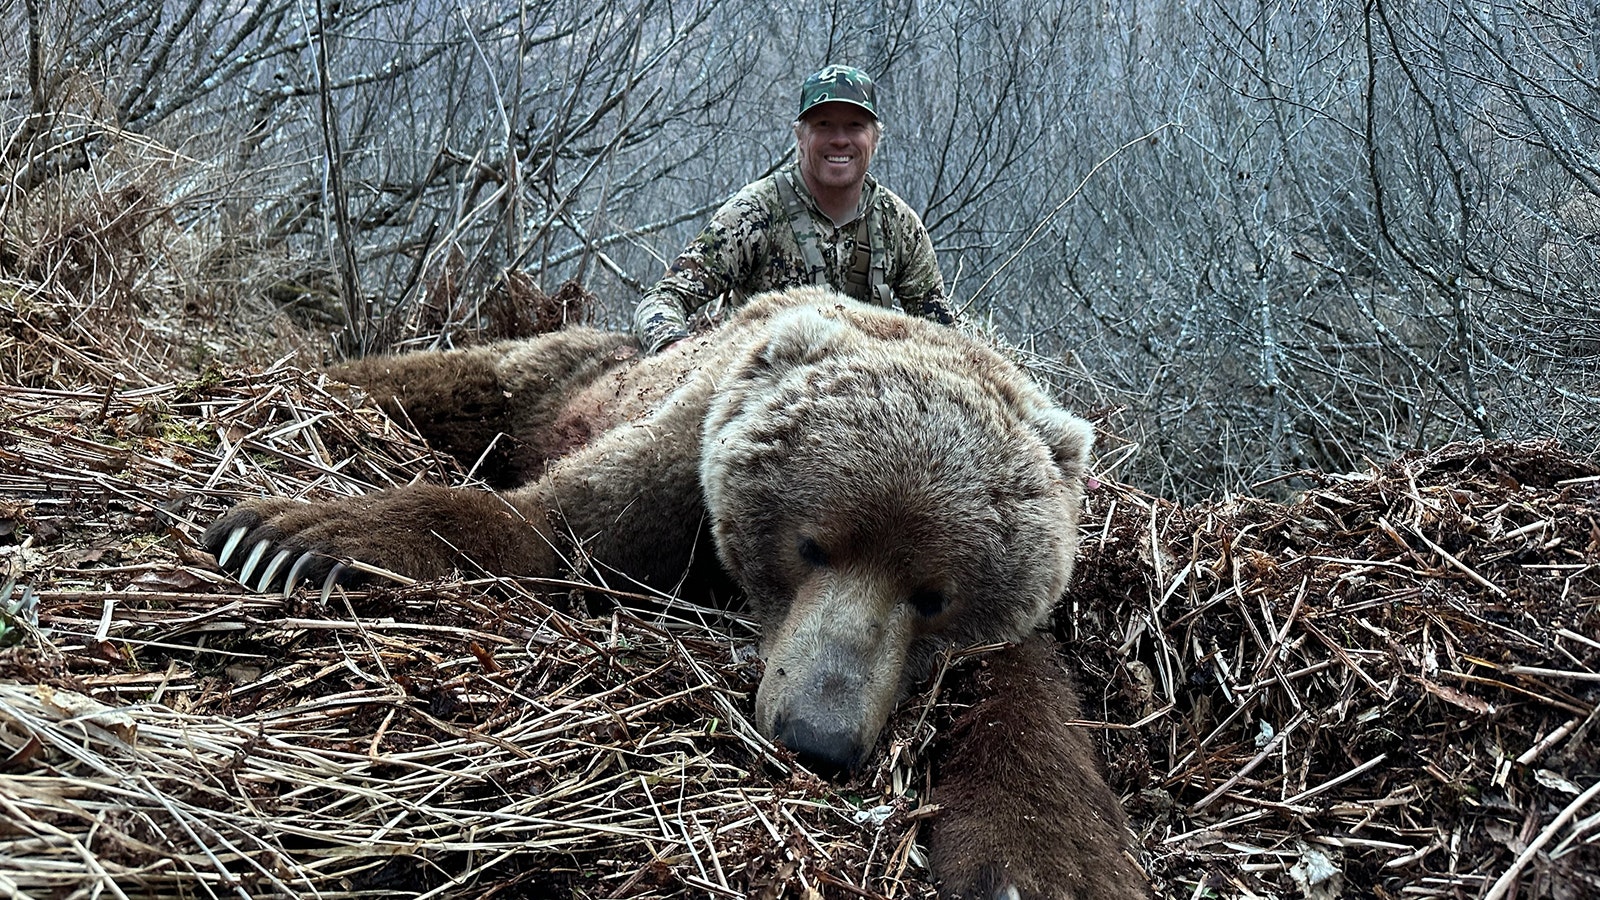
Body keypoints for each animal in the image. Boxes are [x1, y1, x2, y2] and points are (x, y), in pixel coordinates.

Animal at [203, 286, 1152, 896]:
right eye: (810, 544)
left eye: (935, 596)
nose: (817, 736)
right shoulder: (690, 444)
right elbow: (555, 524)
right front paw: (292, 538)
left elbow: (1029, 690)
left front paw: (1052, 867)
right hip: (562, 378)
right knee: (466, 375)